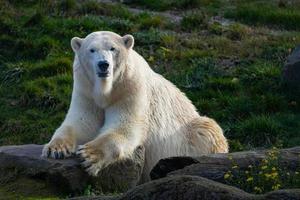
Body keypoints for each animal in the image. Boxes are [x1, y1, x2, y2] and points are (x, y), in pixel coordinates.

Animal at [42, 31, 229, 181]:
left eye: (113, 49)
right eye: (91, 50)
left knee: (206, 129)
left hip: (191, 132)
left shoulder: (130, 87)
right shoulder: (86, 89)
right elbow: (82, 123)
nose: (103, 64)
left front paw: (89, 155)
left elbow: (125, 127)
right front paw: (55, 149)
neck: (106, 90)